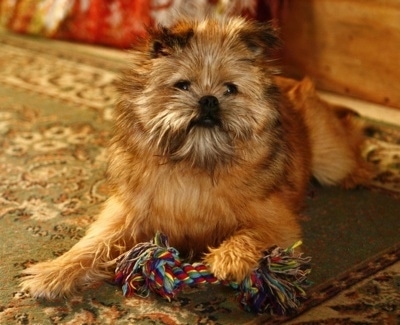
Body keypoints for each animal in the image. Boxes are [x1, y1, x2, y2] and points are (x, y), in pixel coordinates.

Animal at [19, 15, 372, 298]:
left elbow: (251, 232)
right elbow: (92, 245)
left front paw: (230, 258)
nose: (209, 100)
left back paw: (359, 172)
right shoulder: (125, 214)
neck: (194, 162)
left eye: (230, 89)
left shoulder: (279, 224)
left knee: (351, 136)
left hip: (329, 157)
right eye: (182, 85)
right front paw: (54, 272)